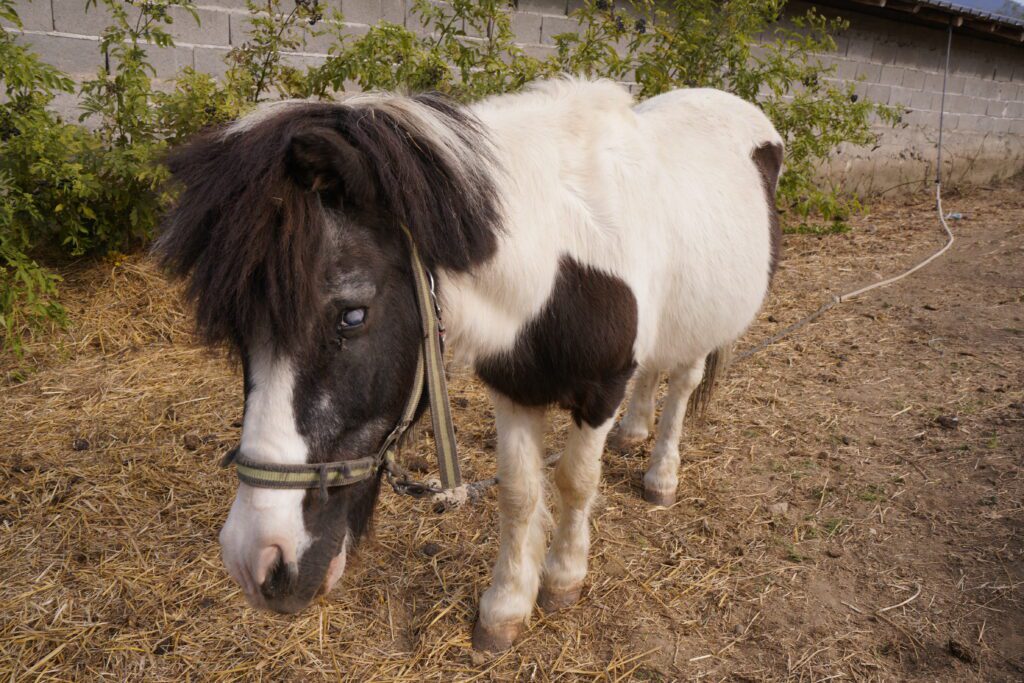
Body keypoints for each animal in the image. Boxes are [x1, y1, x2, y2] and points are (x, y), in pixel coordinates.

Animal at [156, 77, 783, 651]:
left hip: (708, 327)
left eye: (352, 316)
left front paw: (562, 580)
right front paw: (505, 609)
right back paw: (634, 433)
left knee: (682, 385)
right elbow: (520, 493)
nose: (258, 561)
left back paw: (660, 476)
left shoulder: (600, 391)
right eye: (241, 333)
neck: (561, 266)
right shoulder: (514, 390)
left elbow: (576, 481)